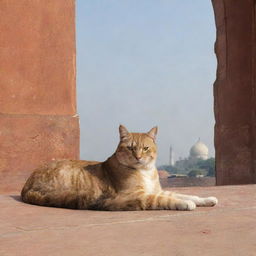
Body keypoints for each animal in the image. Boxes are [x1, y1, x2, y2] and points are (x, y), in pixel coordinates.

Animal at [21, 125, 218, 211]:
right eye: (130, 148)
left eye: (145, 148)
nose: (138, 157)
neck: (146, 172)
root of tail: (27, 185)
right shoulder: (135, 195)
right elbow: (163, 199)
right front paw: (186, 204)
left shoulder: (157, 189)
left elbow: (183, 193)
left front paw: (206, 199)